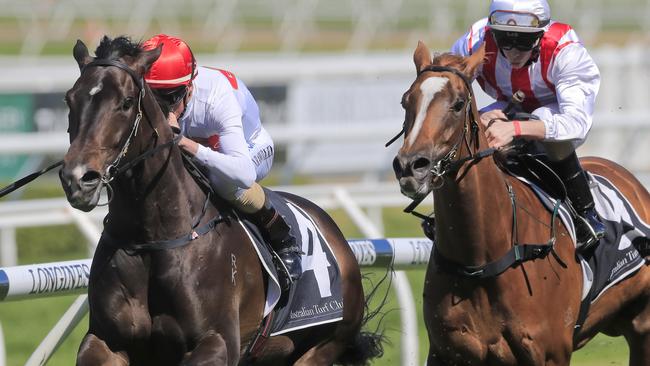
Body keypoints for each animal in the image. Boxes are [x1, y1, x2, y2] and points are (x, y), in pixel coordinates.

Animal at [59, 36, 380, 366]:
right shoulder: (105, 342)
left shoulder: (216, 342)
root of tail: (337, 237)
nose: (78, 178)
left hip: (322, 346)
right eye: (70, 100)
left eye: (125, 102)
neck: (151, 238)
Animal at [390, 41, 648, 364]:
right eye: (405, 101)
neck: (480, 258)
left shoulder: (550, 353)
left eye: (458, 104)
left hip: (642, 327)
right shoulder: (445, 351)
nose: (411, 166)